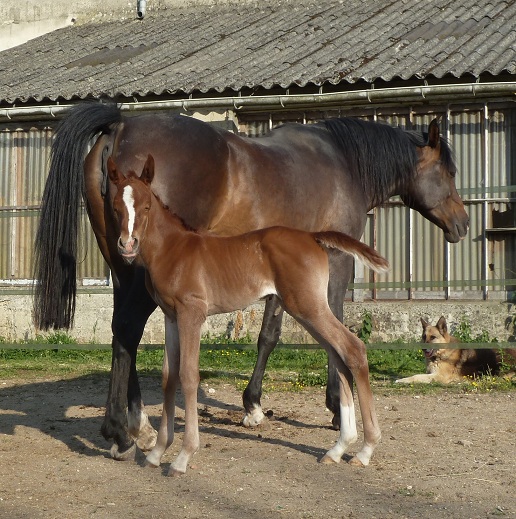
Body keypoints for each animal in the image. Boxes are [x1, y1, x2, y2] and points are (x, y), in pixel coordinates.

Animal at [109, 154, 390, 476]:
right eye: (115, 207)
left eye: (145, 207)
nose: (127, 245)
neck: (173, 249)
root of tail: (311, 237)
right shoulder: (171, 316)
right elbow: (169, 377)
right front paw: (156, 453)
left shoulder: (192, 314)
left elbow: (188, 376)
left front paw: (183, 457)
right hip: (305, 310)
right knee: (339, 354)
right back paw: (339, 448)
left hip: (308, 306)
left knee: (353, 348)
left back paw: (366, 449)